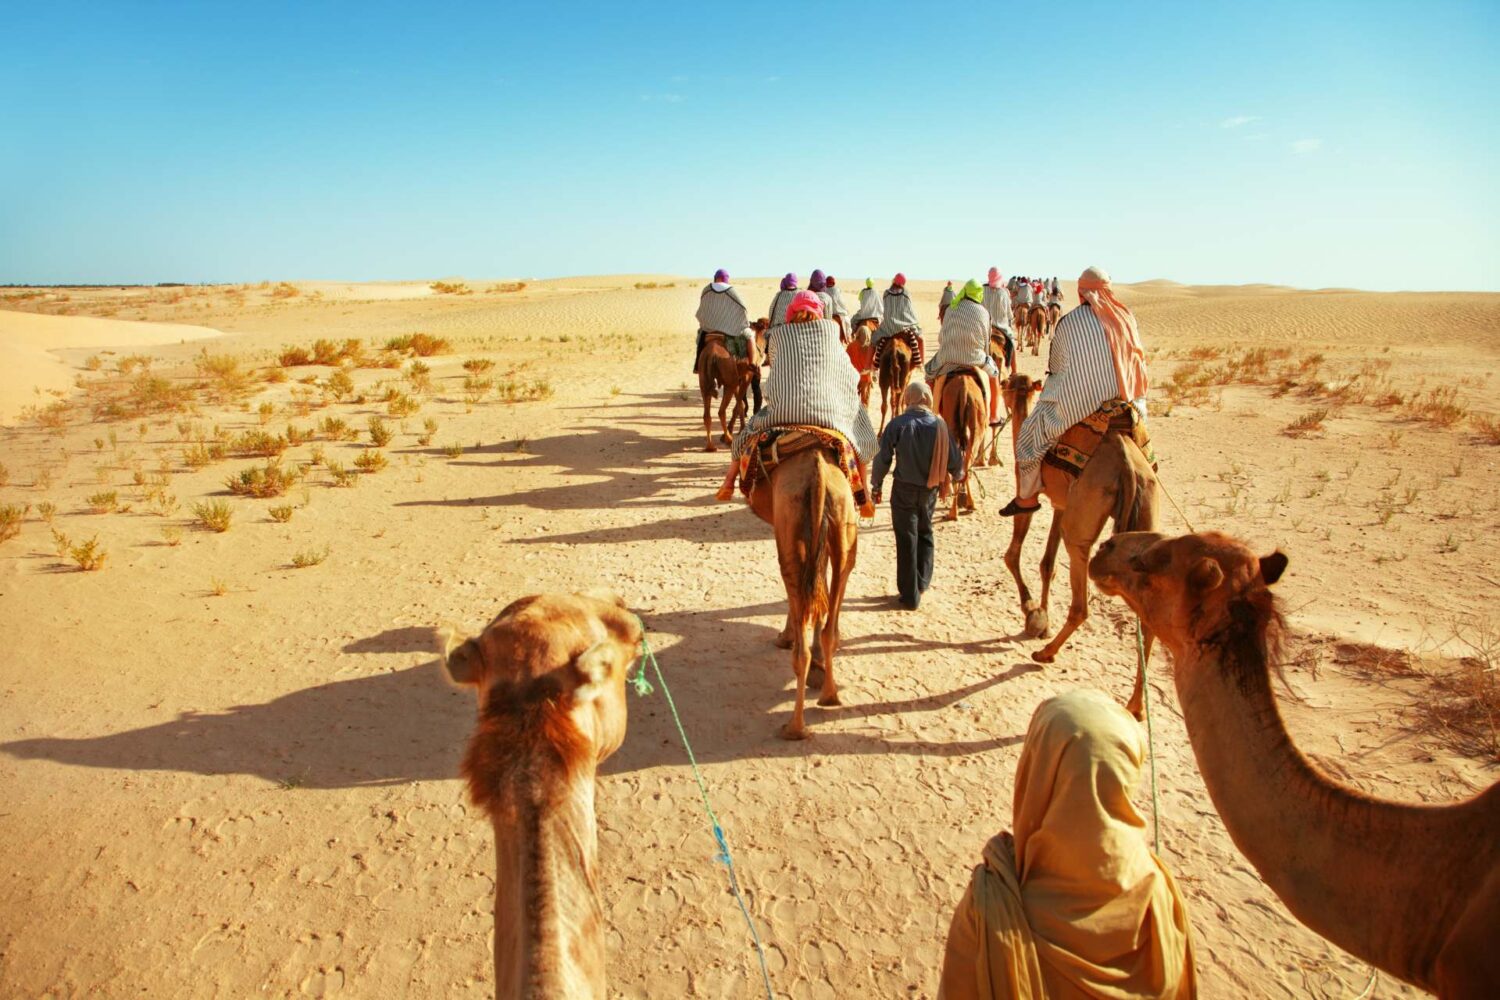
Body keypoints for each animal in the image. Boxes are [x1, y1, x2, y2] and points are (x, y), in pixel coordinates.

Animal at [747, 446, 858, 740]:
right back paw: (829, 696)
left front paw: (785, 637)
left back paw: (794, 728)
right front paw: (819, 668)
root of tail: (818, 475)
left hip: (790, 526)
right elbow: (819, 595)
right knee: (838, 586)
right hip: (843, 526)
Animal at [999, 373, 1158, 711]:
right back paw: (1135, 705)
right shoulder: (1061, 505)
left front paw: (1032, 613)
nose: (1002, 387)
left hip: (1083, 519)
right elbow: (1047, 564)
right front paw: (1042, 618)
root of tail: (1127, 466)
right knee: (1148, 622)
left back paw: (1046, 654)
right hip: (1144, 508)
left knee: (1081, 602)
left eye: (1006, 384)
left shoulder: (1027, 492)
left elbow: (1013, 554)